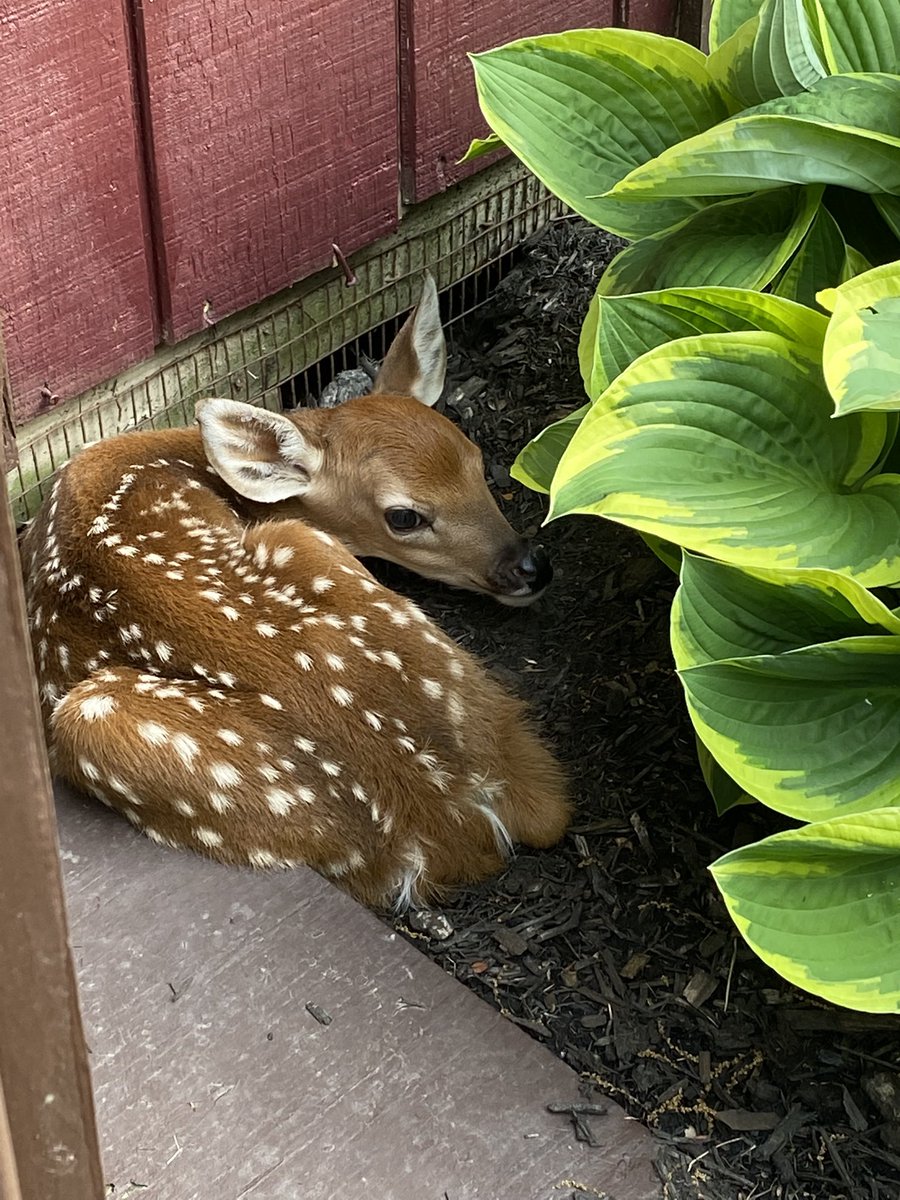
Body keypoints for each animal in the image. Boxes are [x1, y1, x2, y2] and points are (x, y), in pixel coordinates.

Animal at [20, 274, 570, 910]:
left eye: (476, 460)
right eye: (404, 517)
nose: (530, 566)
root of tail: (460, 808)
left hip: (288, 548)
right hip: (98, 711)